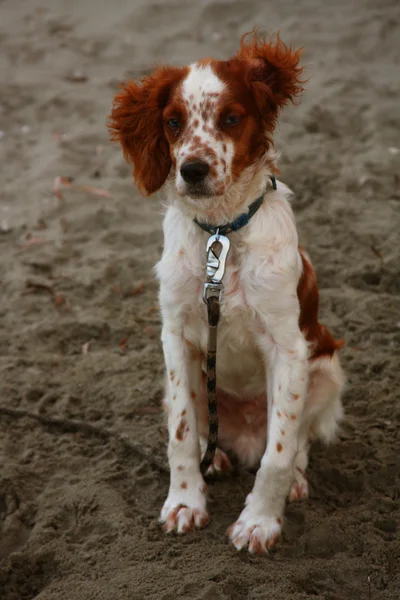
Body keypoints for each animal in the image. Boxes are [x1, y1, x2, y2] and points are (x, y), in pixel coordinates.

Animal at [108, 31, 344, 552]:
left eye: (231, 118)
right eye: (173, 122)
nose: (193, 170)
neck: (221, 233)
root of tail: (243, 432)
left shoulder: (289, 348)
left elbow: (279, 451)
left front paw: (259, 522)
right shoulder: (176, 337)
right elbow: (179, 430)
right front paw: (184, 502)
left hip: (327, 370)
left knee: (295, 439)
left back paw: (293, 479)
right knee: (200, 424)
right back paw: (212, 456)